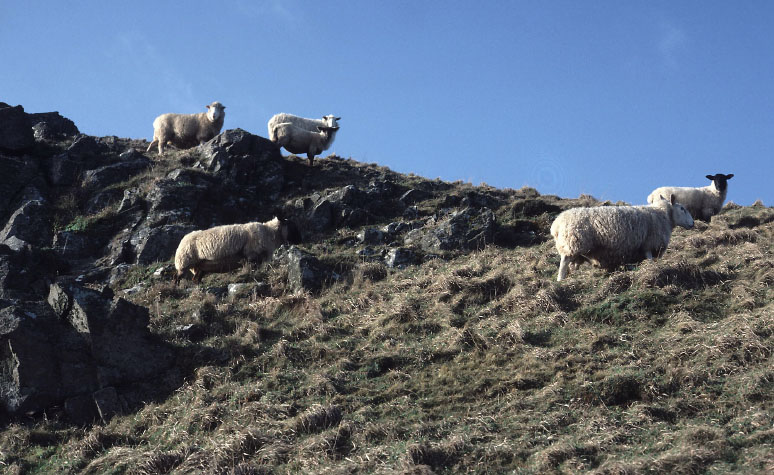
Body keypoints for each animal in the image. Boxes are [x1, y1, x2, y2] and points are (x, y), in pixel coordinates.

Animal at [174, 218, 302, 284]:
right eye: (292, 226)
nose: (300, 240)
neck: (270, 232)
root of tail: (182, 241)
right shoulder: (251, 256)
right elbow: (252, 270)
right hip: (184, 262)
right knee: (177, 277)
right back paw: (176, 288)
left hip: (200, 267)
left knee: (196, 279)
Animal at [552, 194, 696, 280]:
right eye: (682, 208)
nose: (693, 223)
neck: (662, 215)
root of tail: (556, 225)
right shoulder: (649, 244)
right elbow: (650, 258)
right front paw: (652, 269)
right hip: (573, 243)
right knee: (564, 263)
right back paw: (560, 280)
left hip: (577, 250)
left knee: (572, 265)